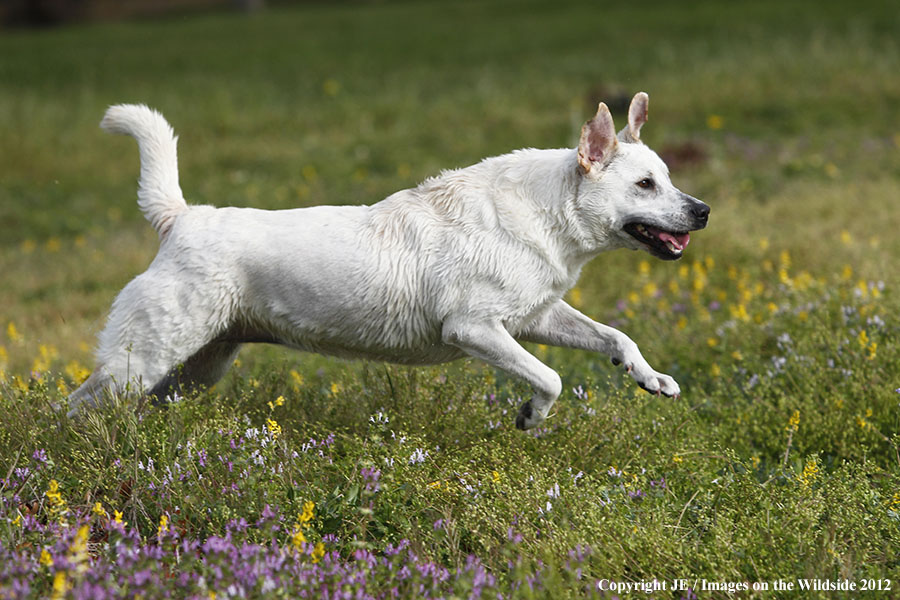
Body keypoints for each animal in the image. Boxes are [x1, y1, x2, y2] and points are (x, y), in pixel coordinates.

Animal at [68, 92, 712, 432]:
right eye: (646, 184)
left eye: (669, 177)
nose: (703, 210)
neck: (545, 211)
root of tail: (181, 217)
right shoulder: (474, 328)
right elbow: (548, 377)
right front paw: (531, 415)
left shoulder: (533, 318)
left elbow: (616, 338)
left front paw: (650, 378)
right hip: (143, 360)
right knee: (78, 406)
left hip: (196, 367)